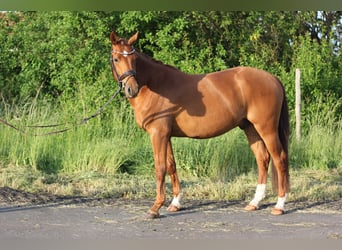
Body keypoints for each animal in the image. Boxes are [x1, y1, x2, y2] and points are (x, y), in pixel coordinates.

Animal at [109, 31, 288, 219]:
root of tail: (273, 78)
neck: (154, 86)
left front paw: (155, 208)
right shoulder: (166, 135)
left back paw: (280, 205)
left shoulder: (158, 133)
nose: (132, 89)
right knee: (263, 159)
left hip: (267, 129)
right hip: (250, 128)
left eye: (134, 58)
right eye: (116, 59)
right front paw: (175, 203)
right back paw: (254, 202)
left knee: (279, 159)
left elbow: (160, 168)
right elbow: (171, 165)